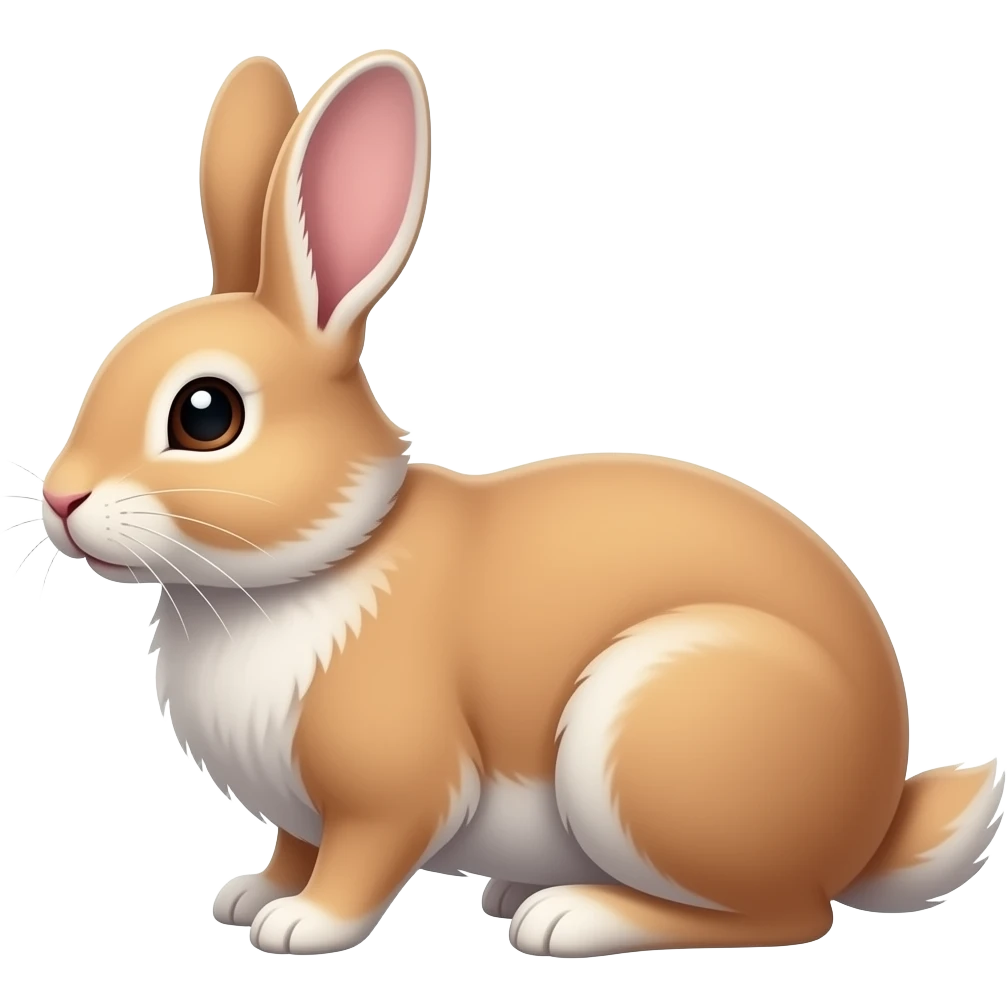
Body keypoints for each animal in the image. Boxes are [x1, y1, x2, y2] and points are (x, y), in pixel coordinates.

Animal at [38, 49, 1002, 958]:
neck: (318, 561)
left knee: (786, 915)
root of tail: (871, 825)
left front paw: (301, 926)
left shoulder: (396, 788)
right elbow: (294, 846)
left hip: (653, 733)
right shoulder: (299, 809)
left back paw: (571, 917)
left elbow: (360, 858)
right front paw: (250, 896)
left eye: (206, 415)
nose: (60, 497)